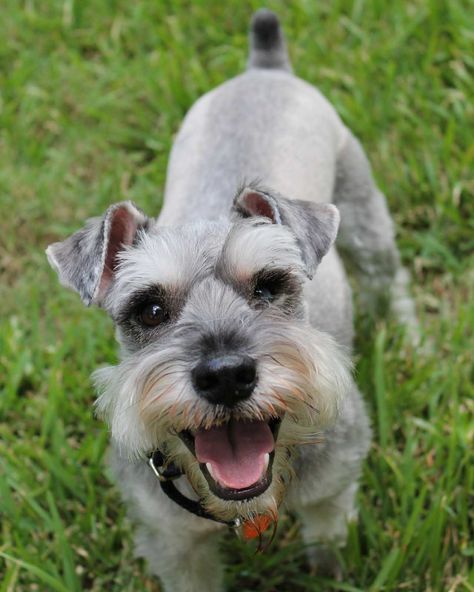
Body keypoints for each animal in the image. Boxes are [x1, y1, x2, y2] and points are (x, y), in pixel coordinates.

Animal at [46, 10, 416, 592]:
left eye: (268, 285)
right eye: (150, 309)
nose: (225, 376)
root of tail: (263, 68)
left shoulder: (332, 493)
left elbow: (328, 543)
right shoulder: (173, 542)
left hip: (362, 214)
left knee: (389, 279)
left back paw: (415, 343)